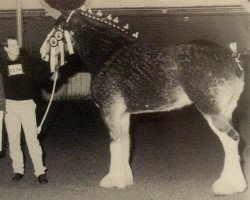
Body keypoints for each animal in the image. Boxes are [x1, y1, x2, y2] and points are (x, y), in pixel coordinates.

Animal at [40, 5, 247, 195]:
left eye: (56, 29)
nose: (43, 54)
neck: (108, 54)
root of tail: (232, 59)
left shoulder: (109, 112)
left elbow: (114, 144)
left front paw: (112, 180)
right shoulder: (123, 115)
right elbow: (125, 143)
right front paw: (125, 179)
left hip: (211, 111)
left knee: (231, 138)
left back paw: (228, 186)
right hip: (225, 112)